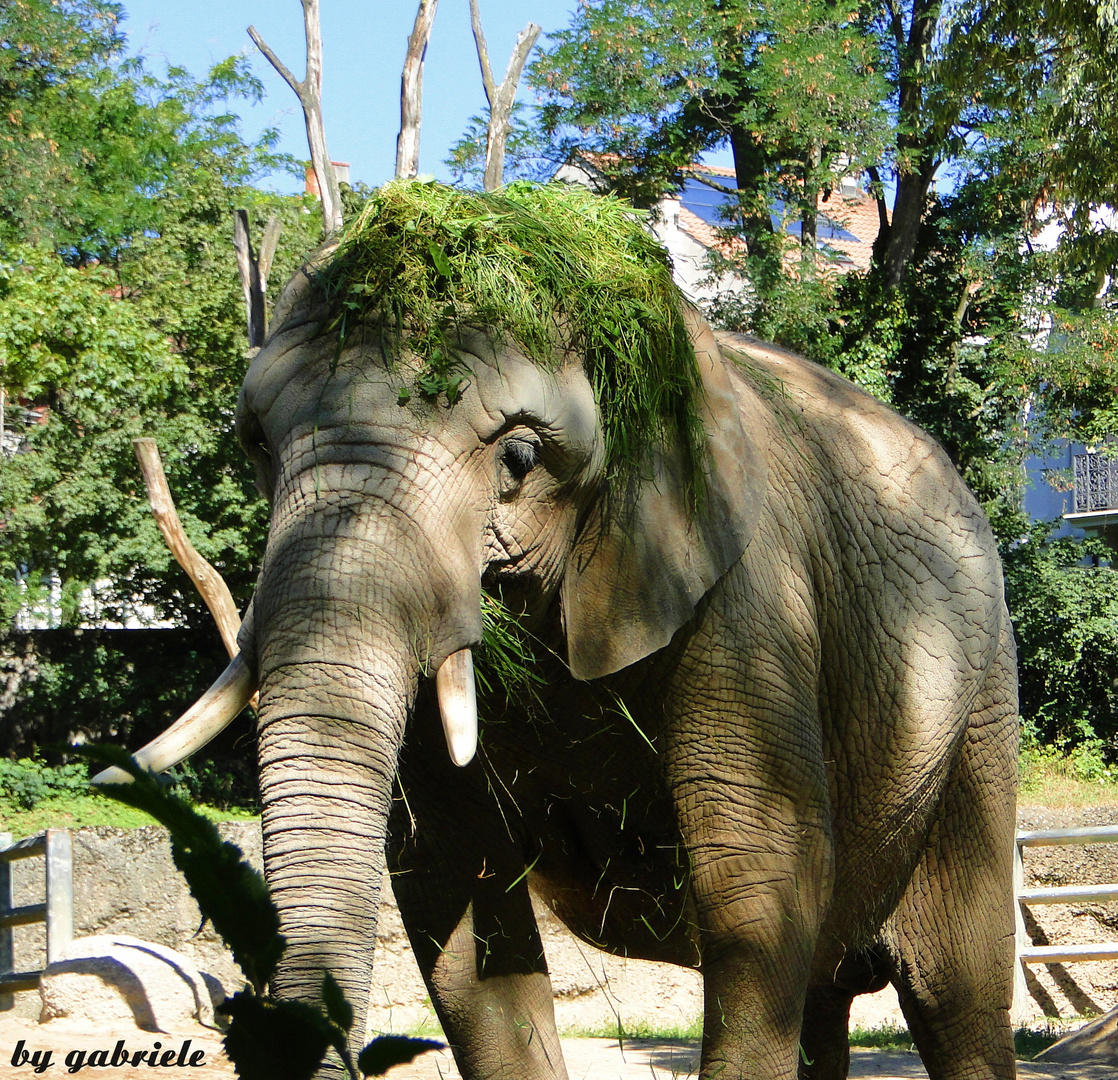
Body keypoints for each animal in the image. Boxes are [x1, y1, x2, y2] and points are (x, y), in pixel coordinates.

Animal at [100, 182, 1019, 1077]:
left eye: (518, 460)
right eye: (256, 444)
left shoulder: (750, 594)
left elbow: (758, 872)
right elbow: (455, 895)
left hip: (979, 709)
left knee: (956, 994)